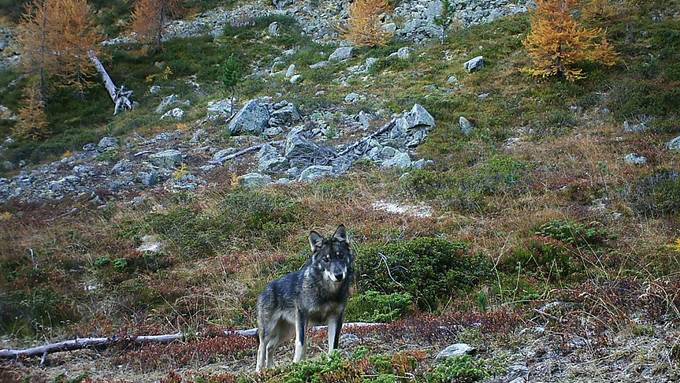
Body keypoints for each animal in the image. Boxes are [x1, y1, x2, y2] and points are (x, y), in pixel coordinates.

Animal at [254, 225, 354, 372]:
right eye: (326, 259)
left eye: (340, 256)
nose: (339, 275)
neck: (328, 291)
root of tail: (264, 289)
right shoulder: (302, 317)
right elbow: (300, 344)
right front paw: (297, 365)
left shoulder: (336, 318)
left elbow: (333, 346)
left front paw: (333, 364)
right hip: (269, 330)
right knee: (261, 349)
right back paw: (259, 372)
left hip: (286, 332)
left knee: (270, 347)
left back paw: (271, 369)